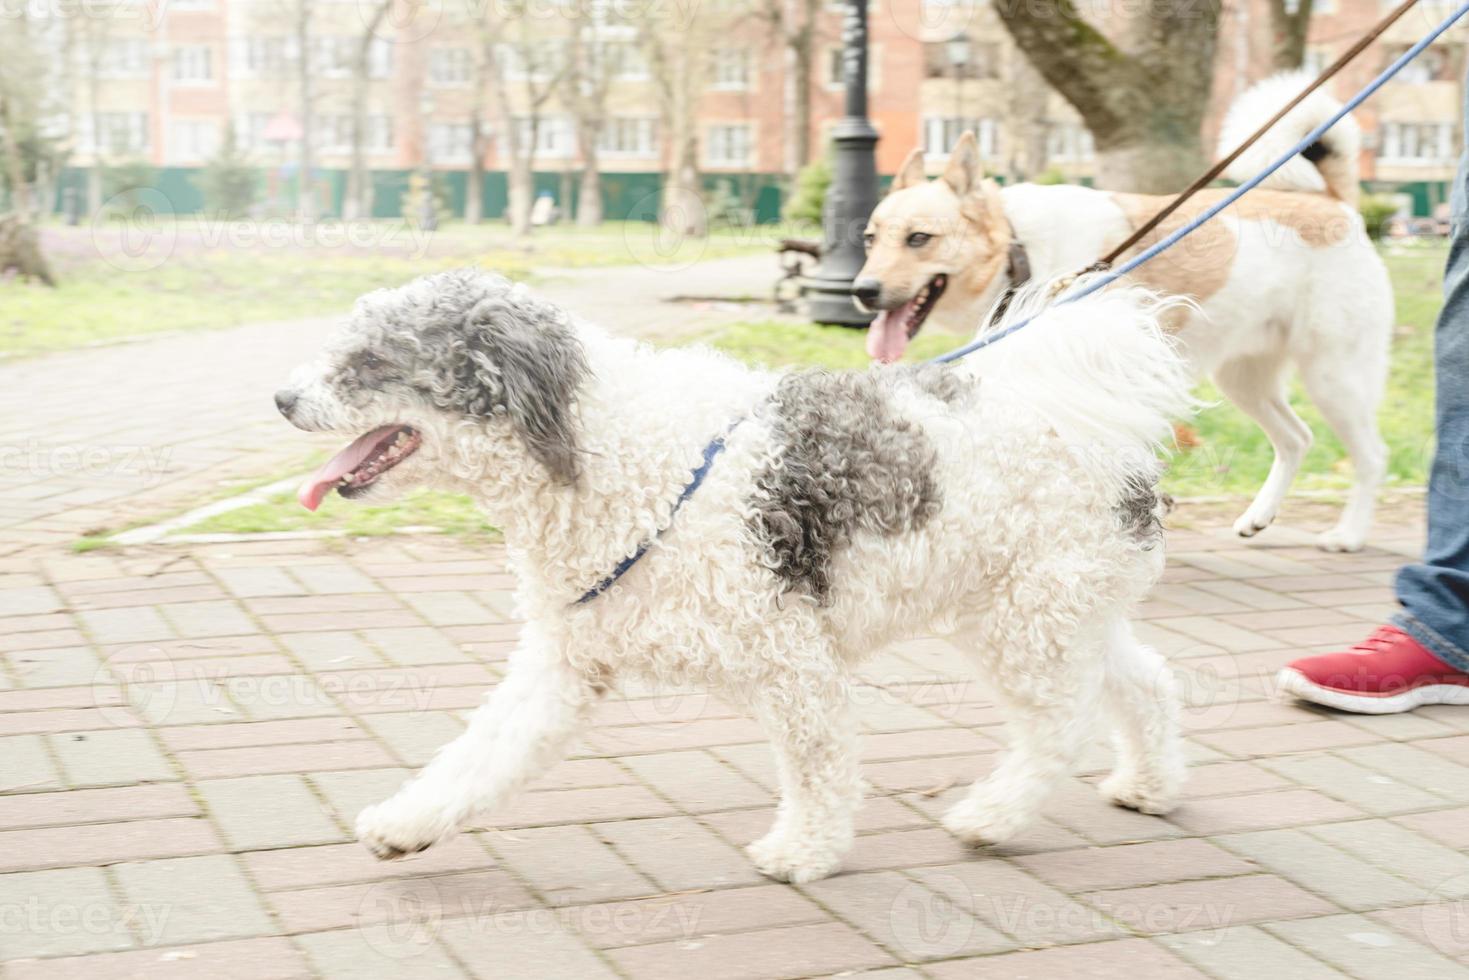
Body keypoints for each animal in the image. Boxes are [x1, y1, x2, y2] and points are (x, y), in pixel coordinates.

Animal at [273, 270, 1192, 887]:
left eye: (369, 360)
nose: (281, 398)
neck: (615, 455)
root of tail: (1081, 415)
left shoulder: (793, 659)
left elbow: (820, 766)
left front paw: (803, 852)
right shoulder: (563, 663)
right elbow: (479, 756)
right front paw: (406, 826)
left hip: (1025, 622)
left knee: (1058, 729)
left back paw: (992, 818)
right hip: (1048, 613)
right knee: (1144, 685)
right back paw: (1147, 786)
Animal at [852, 72, 1386, 552]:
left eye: (919, 238)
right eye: (870, 239)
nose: (862, 291)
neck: (1018, 250)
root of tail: (1335, 204)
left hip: (1334, 378)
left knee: (1370, 455)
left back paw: (1350, 534)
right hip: (1245, 381)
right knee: (1297, 439)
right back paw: (1258, 517)